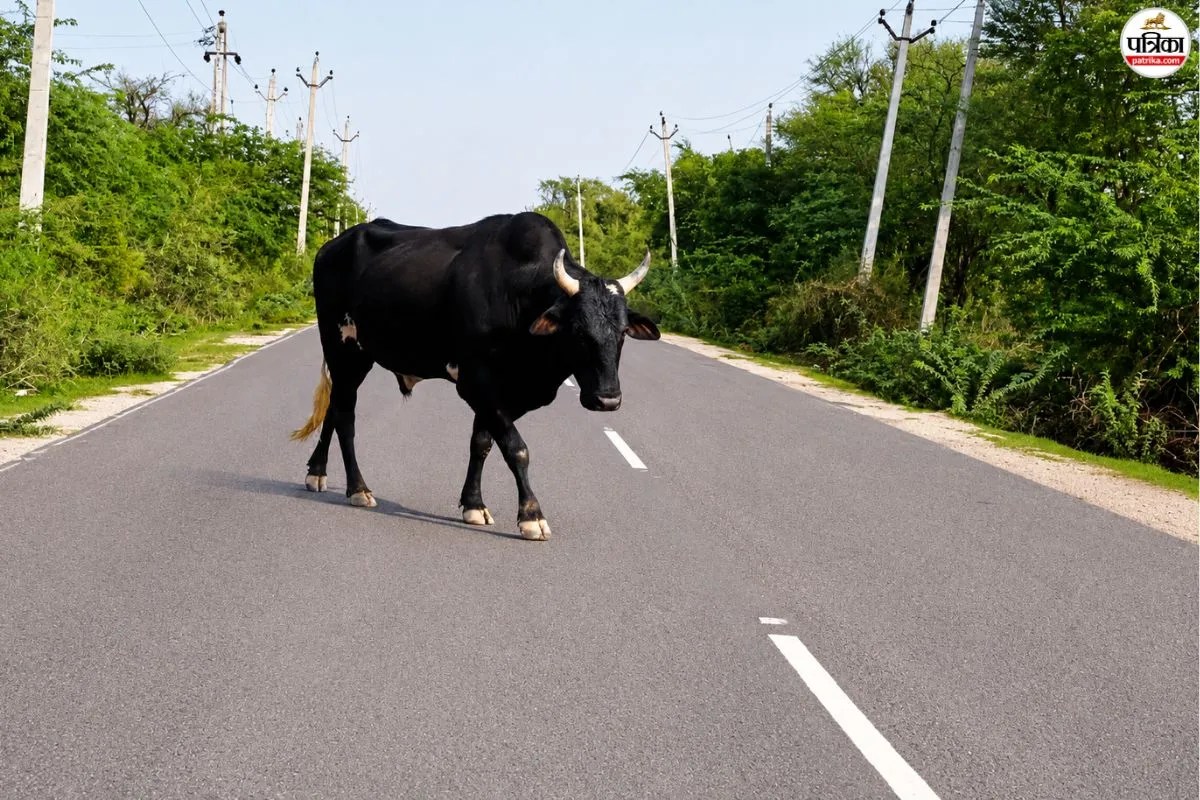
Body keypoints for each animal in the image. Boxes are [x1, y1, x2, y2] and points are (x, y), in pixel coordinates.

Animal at [290, 211, 660, 540]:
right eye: (578, 331)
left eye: (623, 331)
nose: (607, 399)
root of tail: (332, 245)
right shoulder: (476, 382)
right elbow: (516, 448)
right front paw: (531, 516)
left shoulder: (501, 395)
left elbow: (482, 443)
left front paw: (473, 505)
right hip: (343, 349)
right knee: (344, 415)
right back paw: (358, 489)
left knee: (334, 409)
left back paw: (317, 472)